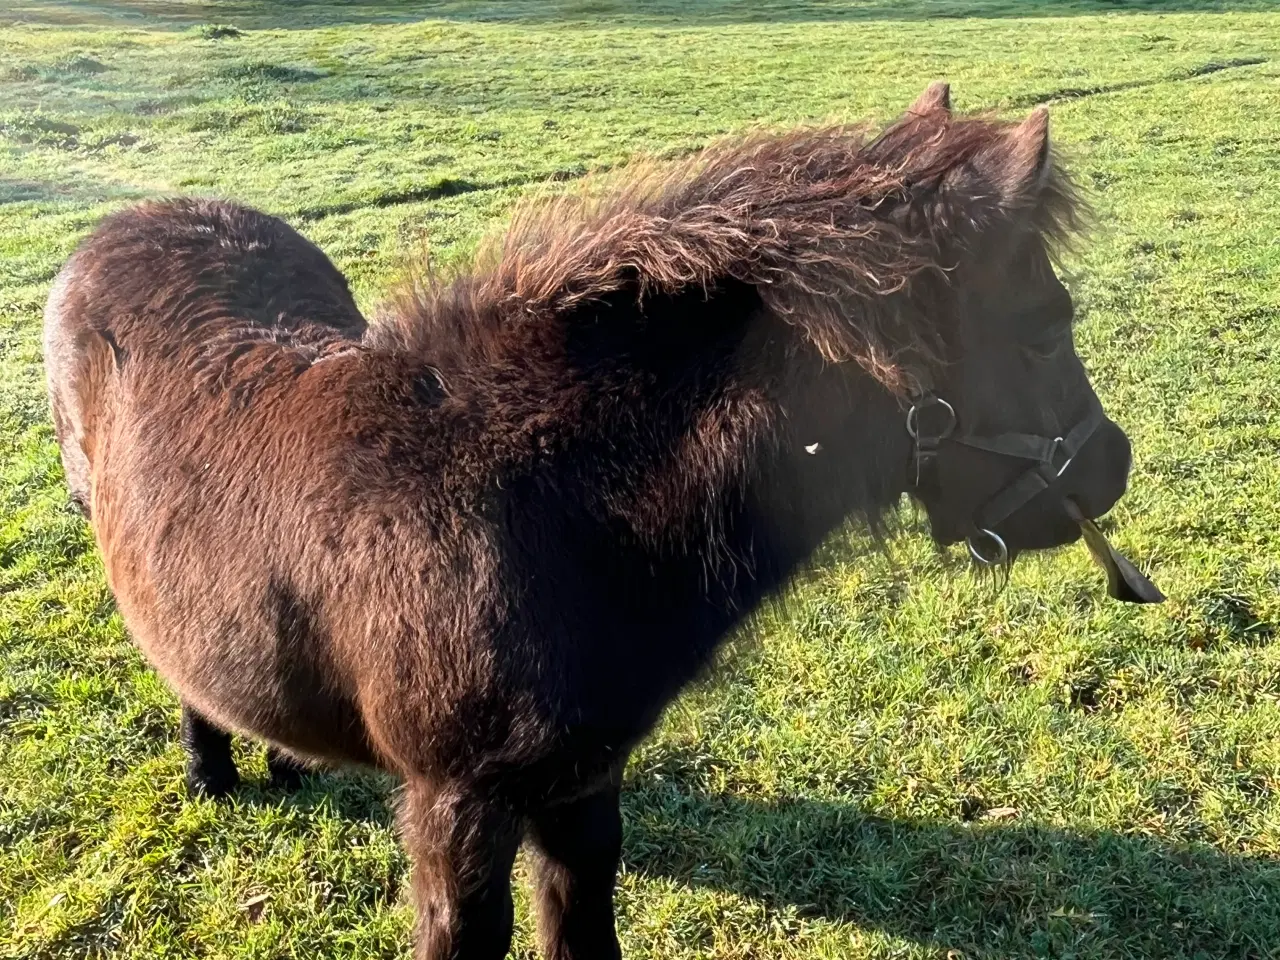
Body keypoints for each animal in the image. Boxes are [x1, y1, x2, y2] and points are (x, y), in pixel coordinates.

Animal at [45, 86, 1136, 957]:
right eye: (1046, 326)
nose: (1111, 466)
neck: (531, 512)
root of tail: (129, 222)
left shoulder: (582, 787)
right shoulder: (456, 810)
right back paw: (210, 774)